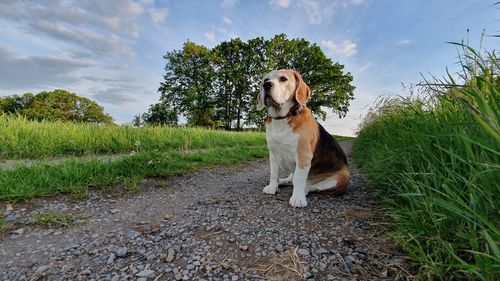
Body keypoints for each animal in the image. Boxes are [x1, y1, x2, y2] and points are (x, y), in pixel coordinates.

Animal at [258, 69, 348, 207]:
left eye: (283, 79)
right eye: (265, 79)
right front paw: (272, 187)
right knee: (291, 178)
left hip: (338, 179)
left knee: (312, 186)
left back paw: (304, 190)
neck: (282, 119)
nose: (266, 85)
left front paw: (298, 198)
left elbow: (299, 179)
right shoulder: (273, 154)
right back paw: (283, 181)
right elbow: (274, 174)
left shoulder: (303, 156)